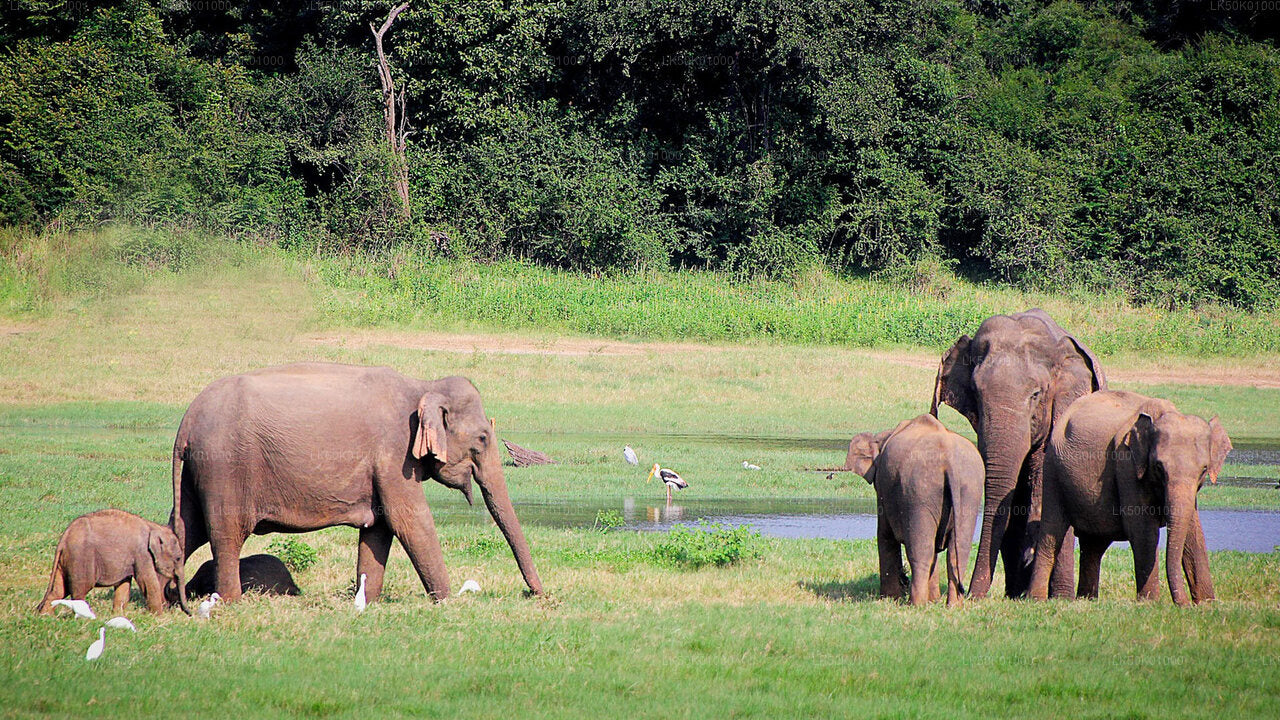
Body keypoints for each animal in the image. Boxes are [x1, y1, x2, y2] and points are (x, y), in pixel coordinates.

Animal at [36, 507, 189, 614]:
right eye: (178, 558)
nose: (189, 613)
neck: (154, 526)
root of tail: (64, 537)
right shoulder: (142, 554)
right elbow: (149, 583)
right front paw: (158, 617)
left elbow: (123, 585)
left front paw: (118, 615)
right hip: (81, 559)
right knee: (79, 591)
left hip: (66, 561)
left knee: (58, 590)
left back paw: (46, 617)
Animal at [168, 361, 540, 602]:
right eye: (482, 438)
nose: (534, 593)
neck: (423, 386)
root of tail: (187, 420)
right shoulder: (394, 455)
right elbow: (408, 519)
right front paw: (449, 601)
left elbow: (380, 527)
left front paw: (366, 602)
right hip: (225, 467)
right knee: (226, 532)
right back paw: (231, 602)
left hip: (199, 471)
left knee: (185, 527)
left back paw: (170, 600)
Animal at [844, 412, 983, 602]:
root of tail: (949, 461)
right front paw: (933, 600)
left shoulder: (883, 488)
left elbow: (885, 534)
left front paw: (890, 598)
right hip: (968, 491)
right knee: (957, 552)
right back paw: (952, 605)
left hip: (919, 492)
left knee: (921, 551)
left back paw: (916, 604)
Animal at [1029, 389, 1228, 602]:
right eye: (1158, 467)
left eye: (1204, 470)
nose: (1184, 605)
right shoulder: (1127, 465)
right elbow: (1143, 531)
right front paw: (1150, 603)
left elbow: (1194, 533)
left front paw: (1207, 603)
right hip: (1053, 470)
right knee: (1052, 534)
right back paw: (1037, 599)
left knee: (1094, 544)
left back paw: (1087, 599)